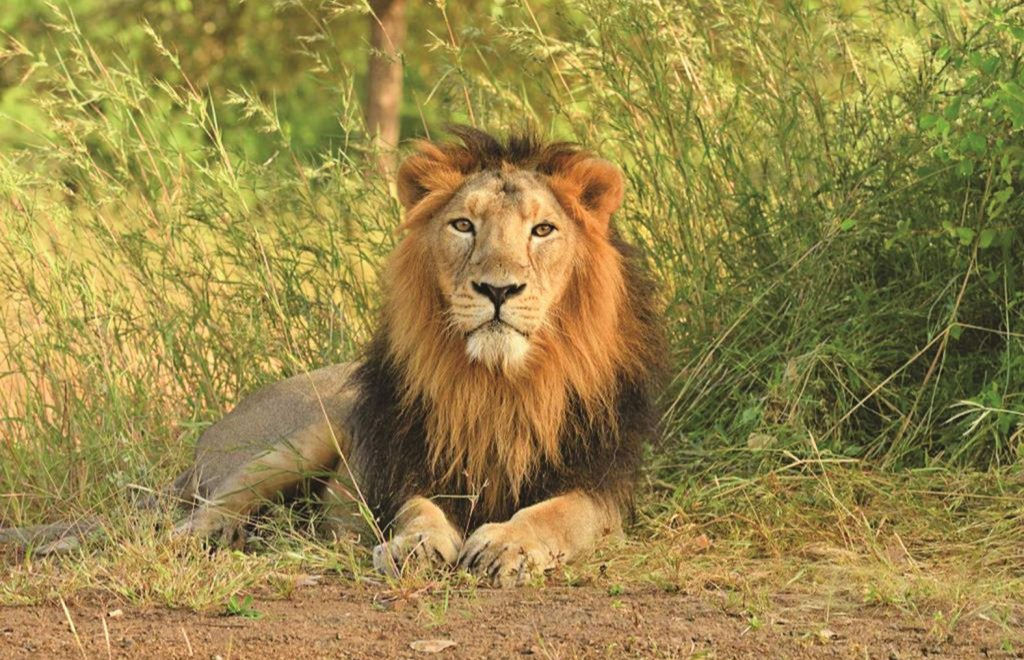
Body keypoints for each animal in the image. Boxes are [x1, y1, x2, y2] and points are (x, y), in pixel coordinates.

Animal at [132, 128, 663, 586]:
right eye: (463, 225)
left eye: (543, 229)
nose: (498, 290)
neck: (498, 383)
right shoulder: (405, 464)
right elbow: (418, 509)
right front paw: (417, 545)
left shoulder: (602, 484)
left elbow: (557, 514)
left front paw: (506, 544)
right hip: (303, 435)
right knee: (211, 505)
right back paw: (205, 536)